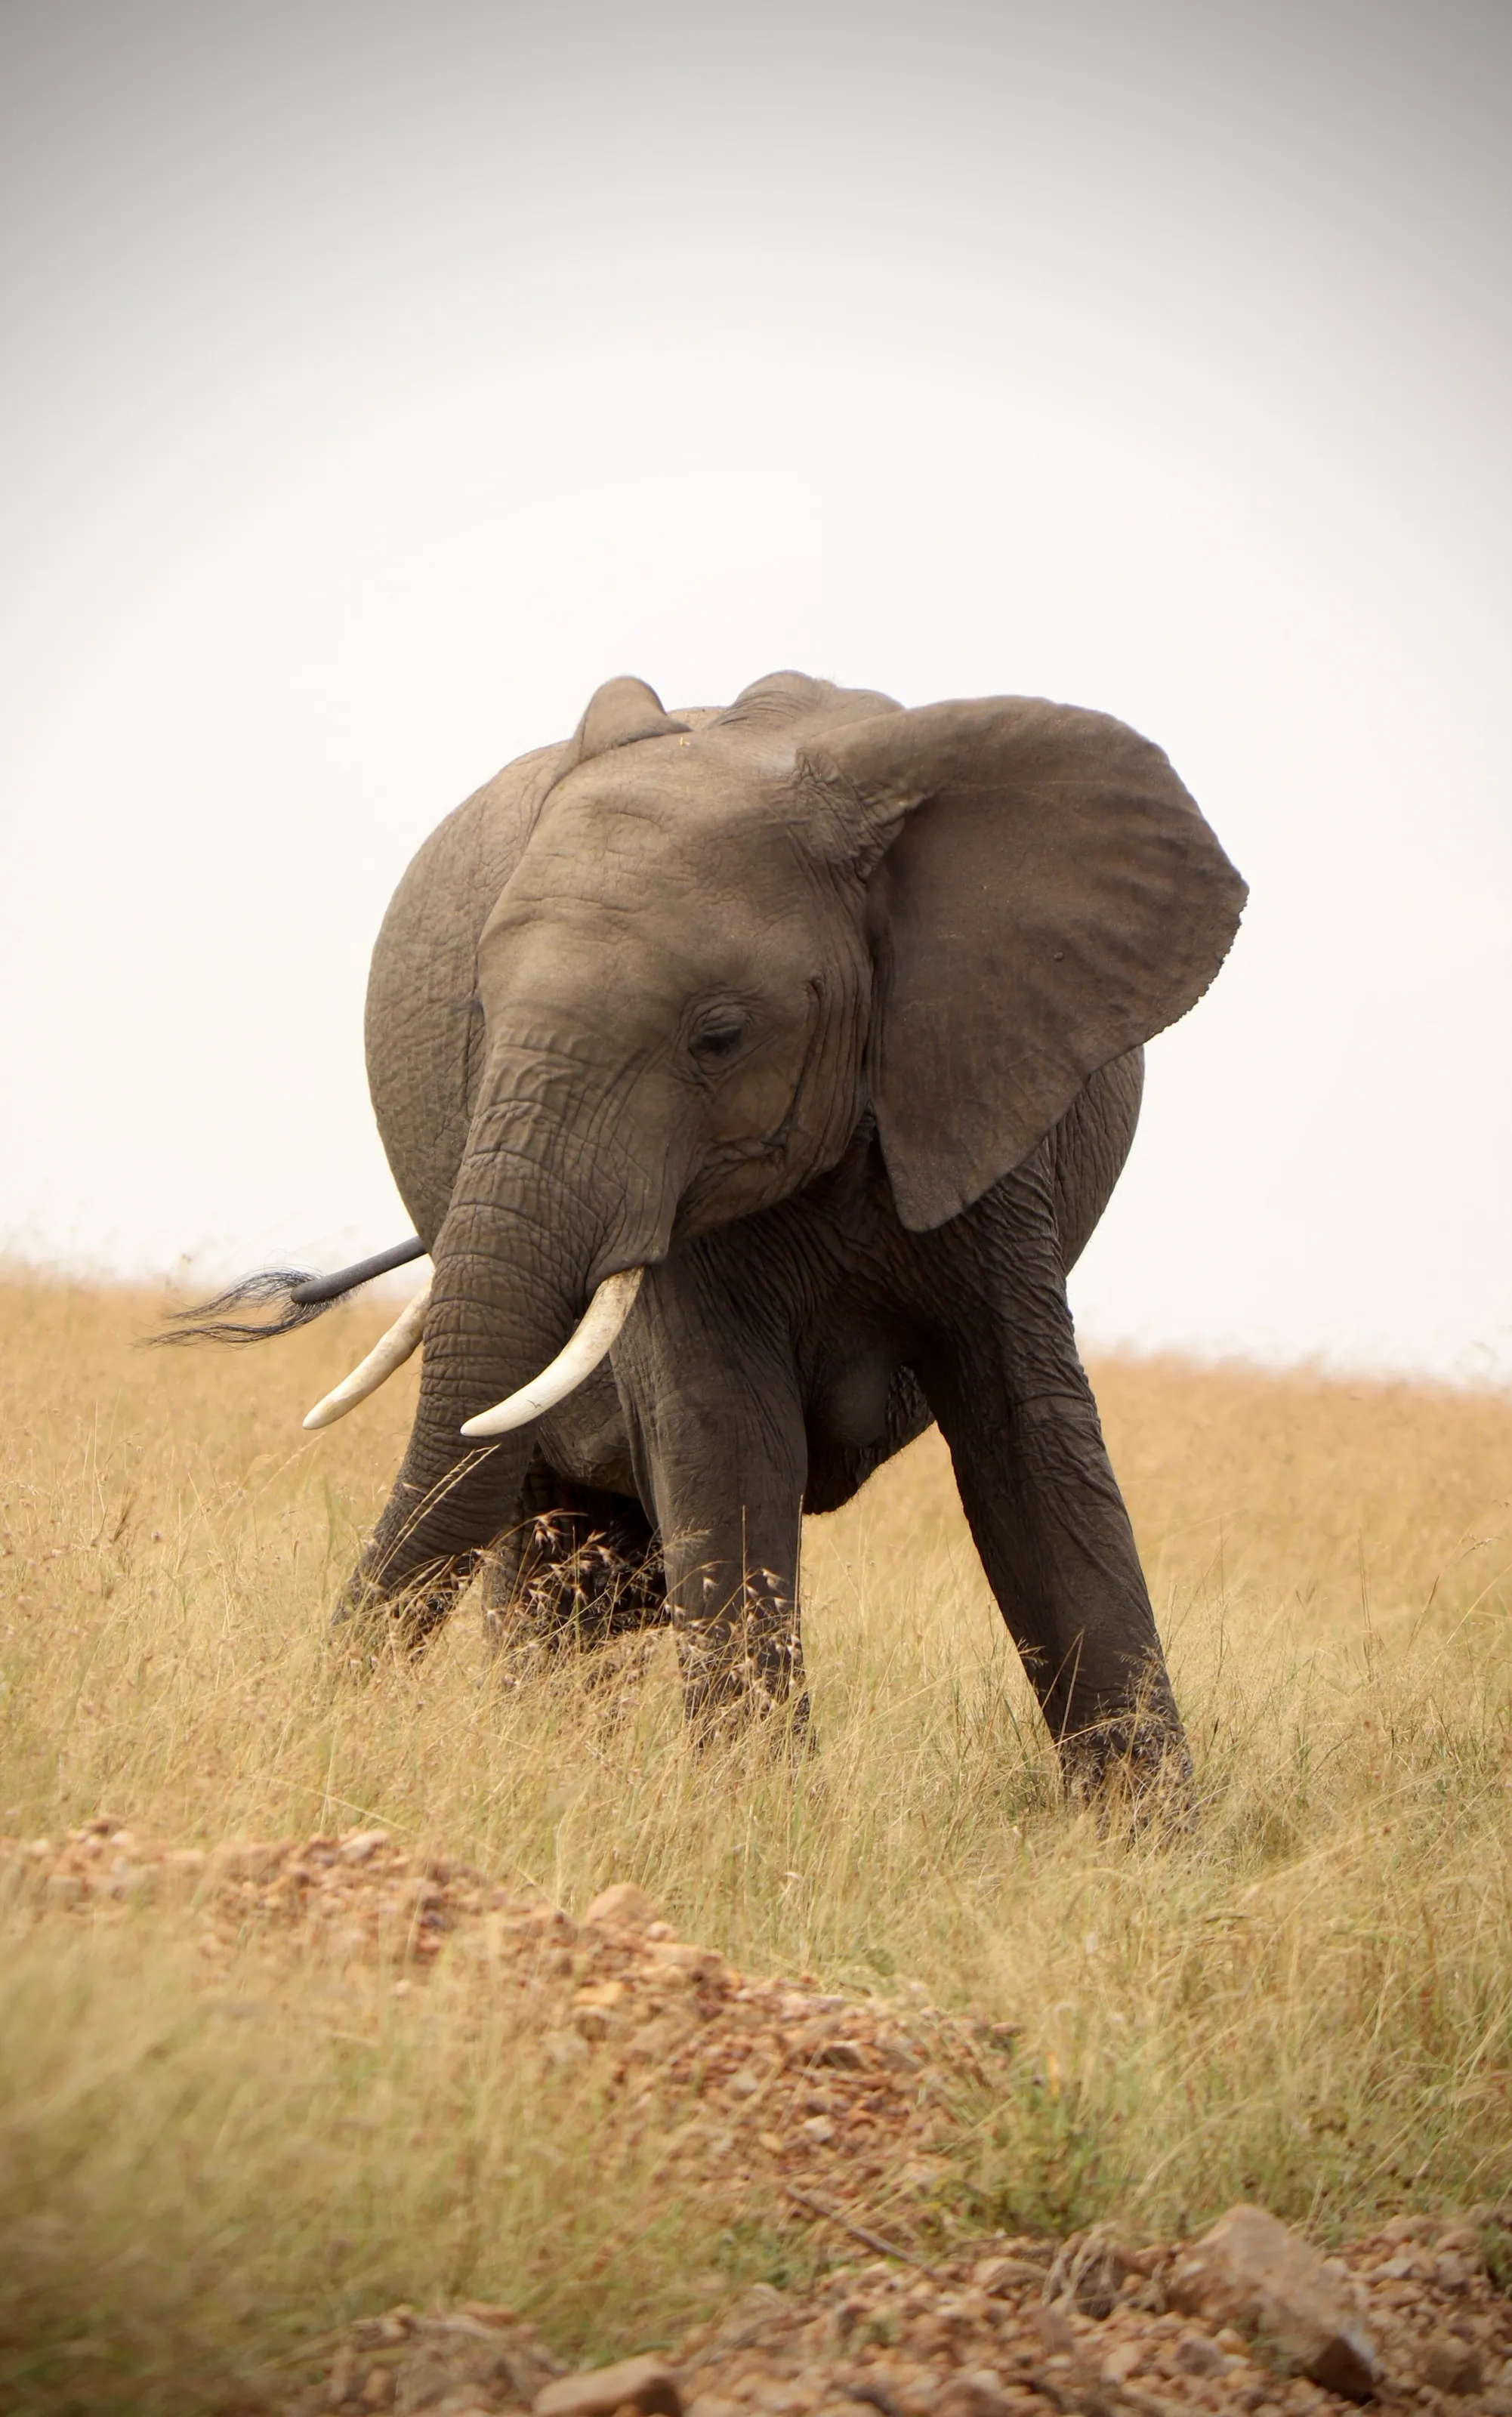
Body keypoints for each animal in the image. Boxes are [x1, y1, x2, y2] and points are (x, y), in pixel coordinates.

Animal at [176, 670, 1246, 1786]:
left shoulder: (985, 1106)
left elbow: (1035, 1446)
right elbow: (725, 1432)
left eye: (720, 1038)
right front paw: (762, 1804)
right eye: (478, 1017)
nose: (308, 1716)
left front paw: (1150, 1824)